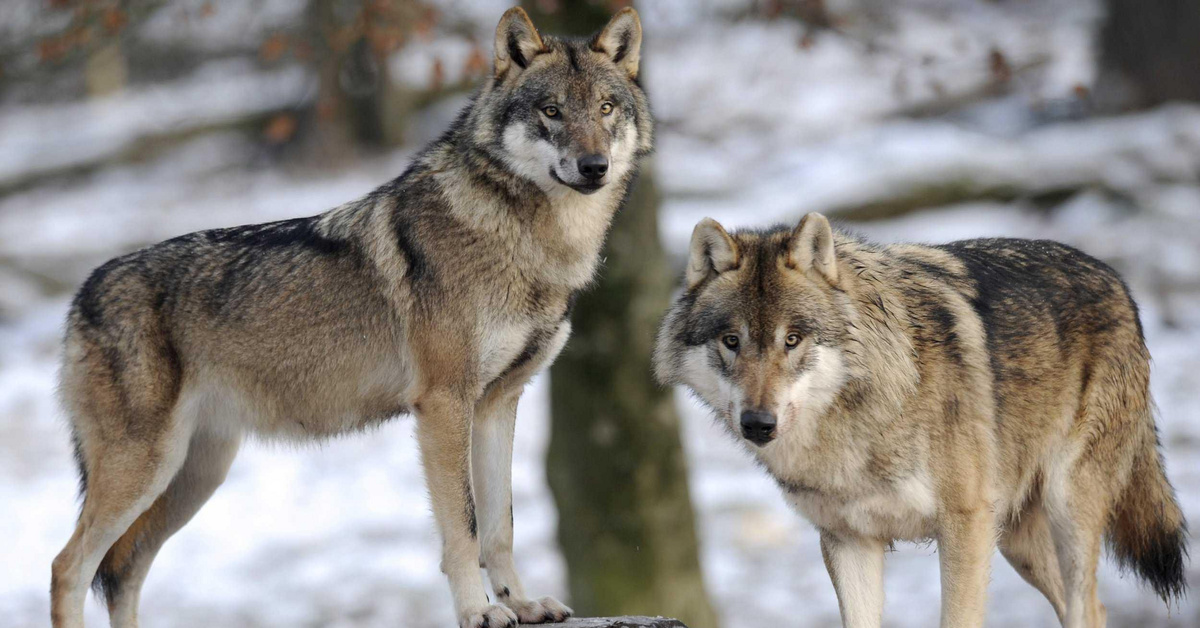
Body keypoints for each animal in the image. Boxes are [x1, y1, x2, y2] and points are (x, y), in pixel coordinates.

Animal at [51, 8, 652, 628]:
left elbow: (500, 526)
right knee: (69, 566)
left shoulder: (498, 404)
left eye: (606, 108)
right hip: (146, 470)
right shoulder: (444, 405)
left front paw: (523, 604)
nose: (594, 166)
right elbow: (463, 528)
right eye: (551, 111)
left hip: (193, 476)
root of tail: (82, 294)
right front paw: (478, 612)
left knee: (125, 571)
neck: (530, 244)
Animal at [657, 213, 1190, 624]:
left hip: (1067, 508)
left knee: (1088, 607)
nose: (757, 423)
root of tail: (1118, 280)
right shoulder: (849, 540)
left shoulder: (964, 527)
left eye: (792, 340)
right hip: (1017, 541)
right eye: (731, 341)